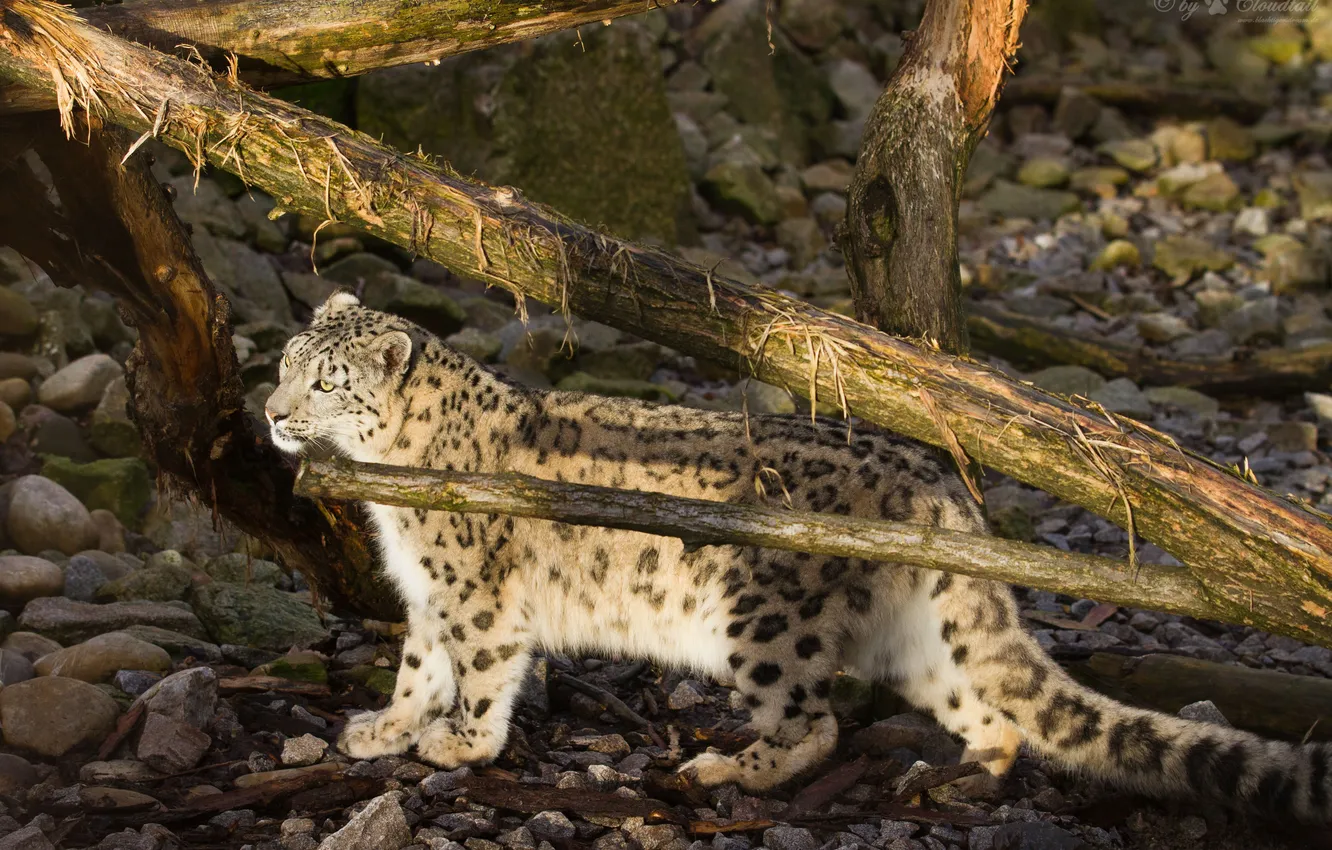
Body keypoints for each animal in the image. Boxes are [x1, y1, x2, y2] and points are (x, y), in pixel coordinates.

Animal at [265, 290, 1332, 822]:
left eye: (325, 381)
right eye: (283, 362)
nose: (272, 413)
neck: (391, 488)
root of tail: (931, 483)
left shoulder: (475, 591)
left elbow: (481, 669)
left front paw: (458, 746)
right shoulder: (425, 593)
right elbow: (419, 663)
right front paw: (383, 730)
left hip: (763, 615)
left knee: (809, 720)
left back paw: (726, 772)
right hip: (918, 636)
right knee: (988, 707)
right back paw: (955, 777)